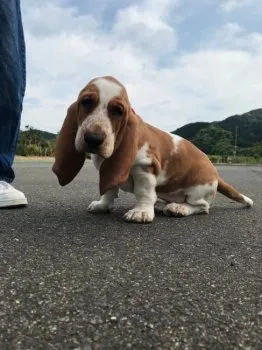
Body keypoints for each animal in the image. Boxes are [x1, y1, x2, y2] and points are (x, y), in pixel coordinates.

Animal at [52, 77, 253, 224]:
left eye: (118, 111)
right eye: (86, 102)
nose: (93, 139)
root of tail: (216, 174)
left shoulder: (145, 168)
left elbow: (144, 192)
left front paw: (141, 212)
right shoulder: (108, 170)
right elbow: (109, 189)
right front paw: (103, 205)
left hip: (198, 189)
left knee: (203, 207)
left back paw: (178, 208)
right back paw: (162, 204)